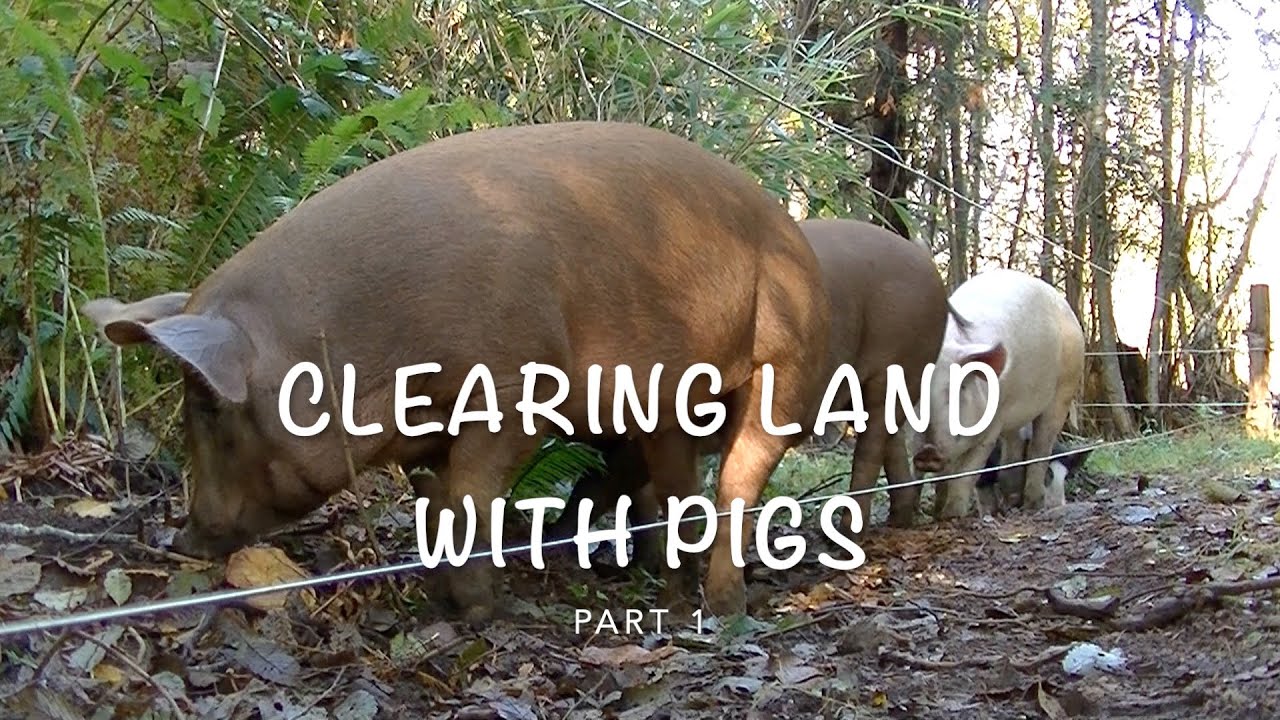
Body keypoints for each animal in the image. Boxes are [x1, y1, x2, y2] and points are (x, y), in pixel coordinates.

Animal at [80, 120, 832, 625]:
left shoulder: (516, 388)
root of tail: (792, 228)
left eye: (208, 407)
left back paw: (724, 606)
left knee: (740, 477)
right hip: (667, 403)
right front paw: (438, 599)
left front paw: (476, 613)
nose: (183, 538)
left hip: (787, 353)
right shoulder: (424, 431)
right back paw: (669, 592)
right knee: (675, 482)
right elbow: (433, 505)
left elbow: (472, 499)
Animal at [544, 217, 955, 563]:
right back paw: (899, 521)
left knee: (870, 447)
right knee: (892, 443)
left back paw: (844, 539)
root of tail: (927, 265)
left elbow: (598, 486)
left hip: (895, 362)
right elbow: (629, 493)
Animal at [912, 268, 1085, 519]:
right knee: (1014, 446)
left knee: (1040, 447)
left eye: (961, 387)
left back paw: (1032, 505)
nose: (927, 450)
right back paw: (1011, 498)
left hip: (1064, 387)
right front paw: (929, 514)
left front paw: (952, 516)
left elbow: (966, 474)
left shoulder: (992, 423)